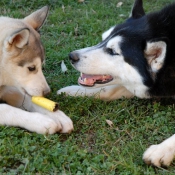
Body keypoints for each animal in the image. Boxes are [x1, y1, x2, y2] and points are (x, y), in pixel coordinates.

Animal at [0, 5, 73, 134]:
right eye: (31, 68)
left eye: (42, 66)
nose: (47, 92)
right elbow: (6, 108)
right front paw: (40, 121)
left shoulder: (9, 89)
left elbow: (30, 100)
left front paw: (57, 115)